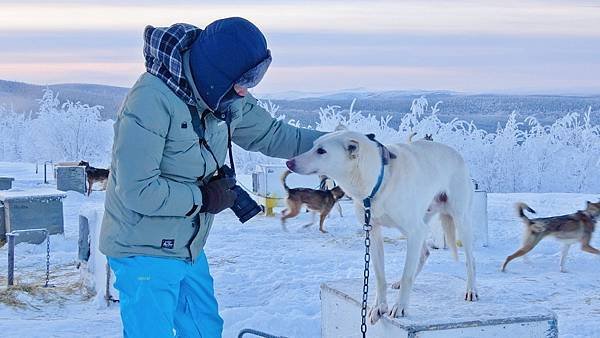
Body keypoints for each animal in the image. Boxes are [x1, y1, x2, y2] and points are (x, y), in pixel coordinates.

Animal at [286, 130, 478, 322]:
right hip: (416, 226)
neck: (379, 179)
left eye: (321, 151)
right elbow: (380, 276)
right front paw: (380, 306)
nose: (289, 162)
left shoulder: (414, 231)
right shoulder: (374, 233)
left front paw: (400, 307)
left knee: (470, 260)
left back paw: (471, 290)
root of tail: (456, 154)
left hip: (458, 222)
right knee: (424, 253)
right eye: (313, 146)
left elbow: (407, 275)